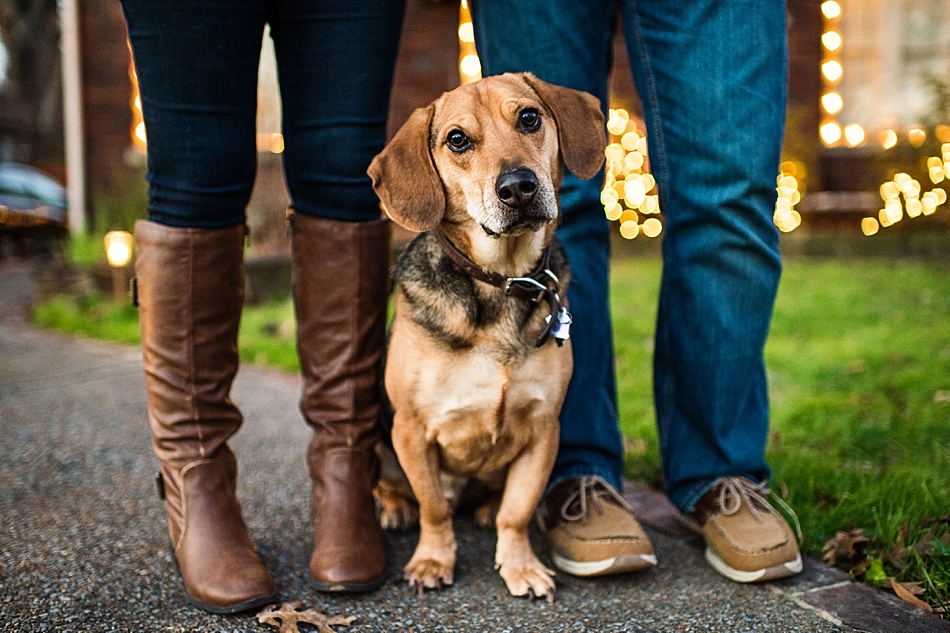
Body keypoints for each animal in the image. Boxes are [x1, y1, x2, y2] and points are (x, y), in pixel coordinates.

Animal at [368, 71, 608, 600]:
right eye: (457, 140)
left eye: (529, 118)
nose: (518, 187)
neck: (501, 280)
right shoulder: (411, 430)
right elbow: (434, 508)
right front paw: (433, 560)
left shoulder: (543, 429)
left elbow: (517, 512)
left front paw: (520, 566)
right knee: (393, 485)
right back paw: (394, 507)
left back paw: (482, 511)